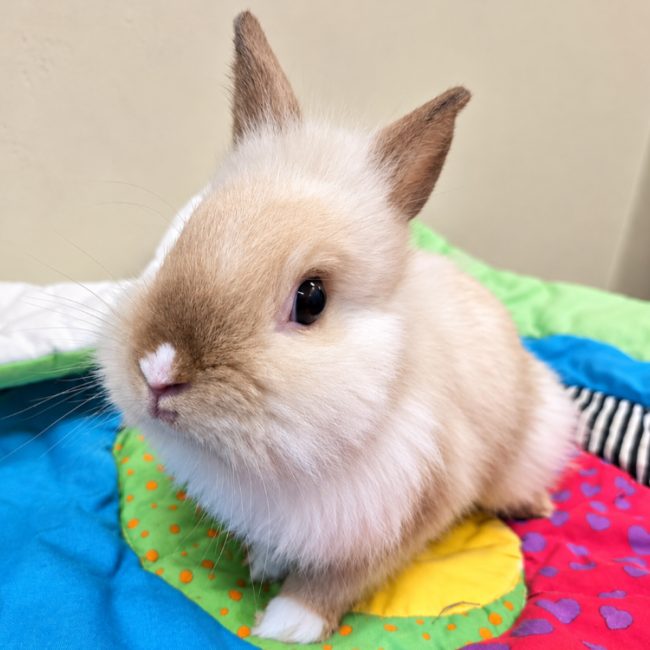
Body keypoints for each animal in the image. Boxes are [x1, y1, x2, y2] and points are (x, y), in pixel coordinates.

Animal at [98, 11, 577, 644]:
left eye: (312, 299)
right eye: (182, 235)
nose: (158, 372)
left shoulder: (413, 507)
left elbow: (344, 576)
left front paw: (287, 622)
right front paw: (265, 563)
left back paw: (535, 506)